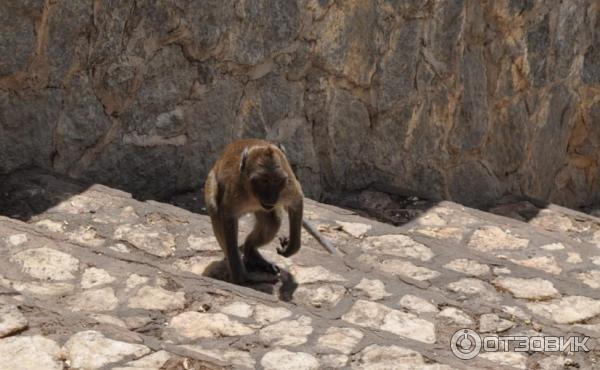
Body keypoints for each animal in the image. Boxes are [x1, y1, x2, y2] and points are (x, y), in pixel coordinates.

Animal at [205, 137, 338, 284]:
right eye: (264, 180)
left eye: (276, 180)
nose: (271, 196)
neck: (253, 194)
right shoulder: (235, 189)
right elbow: (227, 216)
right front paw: (239, 275)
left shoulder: (287, 184)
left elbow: (297, 201)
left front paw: (291, 246)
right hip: (212, 179)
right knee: (215, 209)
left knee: (273, 220)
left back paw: (251, 251)